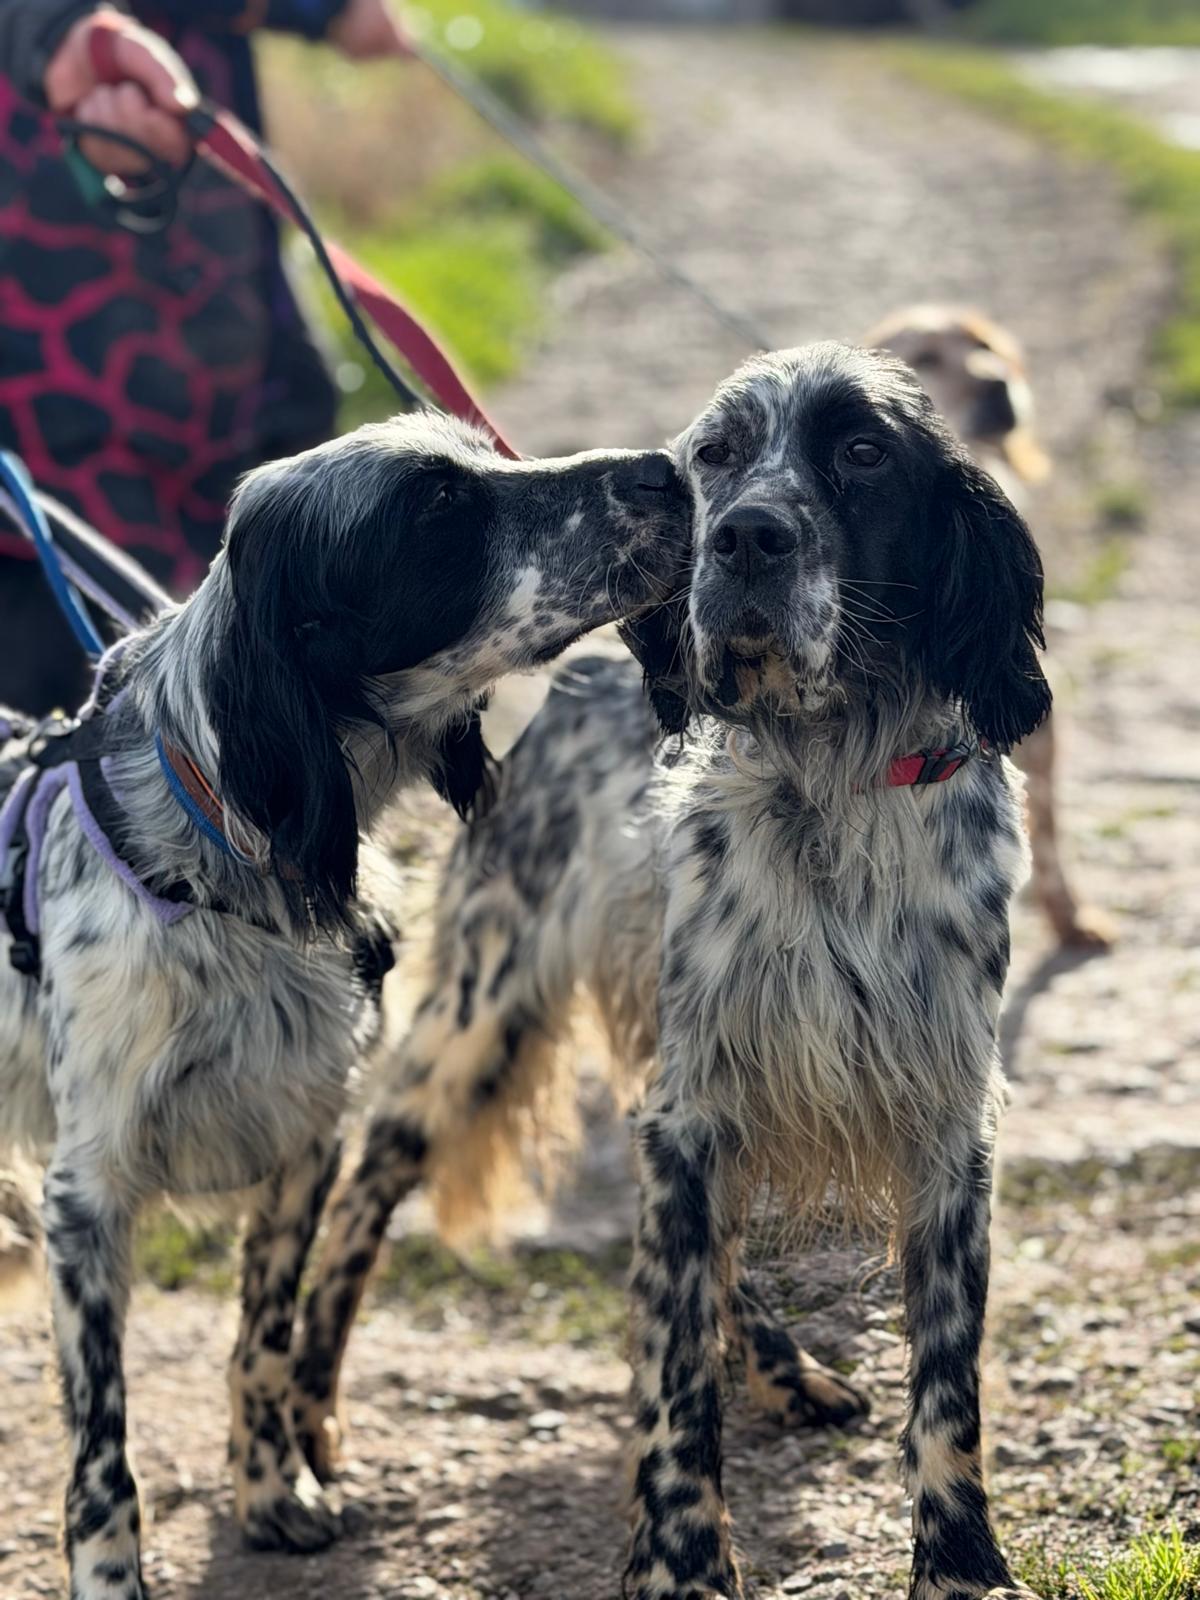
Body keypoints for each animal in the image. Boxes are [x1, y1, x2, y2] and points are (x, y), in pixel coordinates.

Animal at [0, 411, 689, 1600]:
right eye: (437, 505)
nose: (668, 471)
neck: (225, 871)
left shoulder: (302, 1140)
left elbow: (264, 1343)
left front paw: (272, 1490)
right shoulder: (87, 1199)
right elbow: (102, 1454)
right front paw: (113, 1575)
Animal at [298, 343, 1050, 1600]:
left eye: (863, 451)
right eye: (715, 454)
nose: (742, 536)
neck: (825, 786)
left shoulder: (945, 1118)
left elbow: (949, 1378)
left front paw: (960, 1562)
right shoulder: (692, 1105)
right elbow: (676, 1379)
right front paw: (682, 1561)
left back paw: (787, 1369)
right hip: (480, 1020)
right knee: (358, 1198)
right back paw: (299, 1408)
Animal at [866, 304, 1110, 952]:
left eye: (983, 345)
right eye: (924, 359)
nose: (997, 384)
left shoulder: (1039, 731)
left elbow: (1047, 832)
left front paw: (1071, 916)